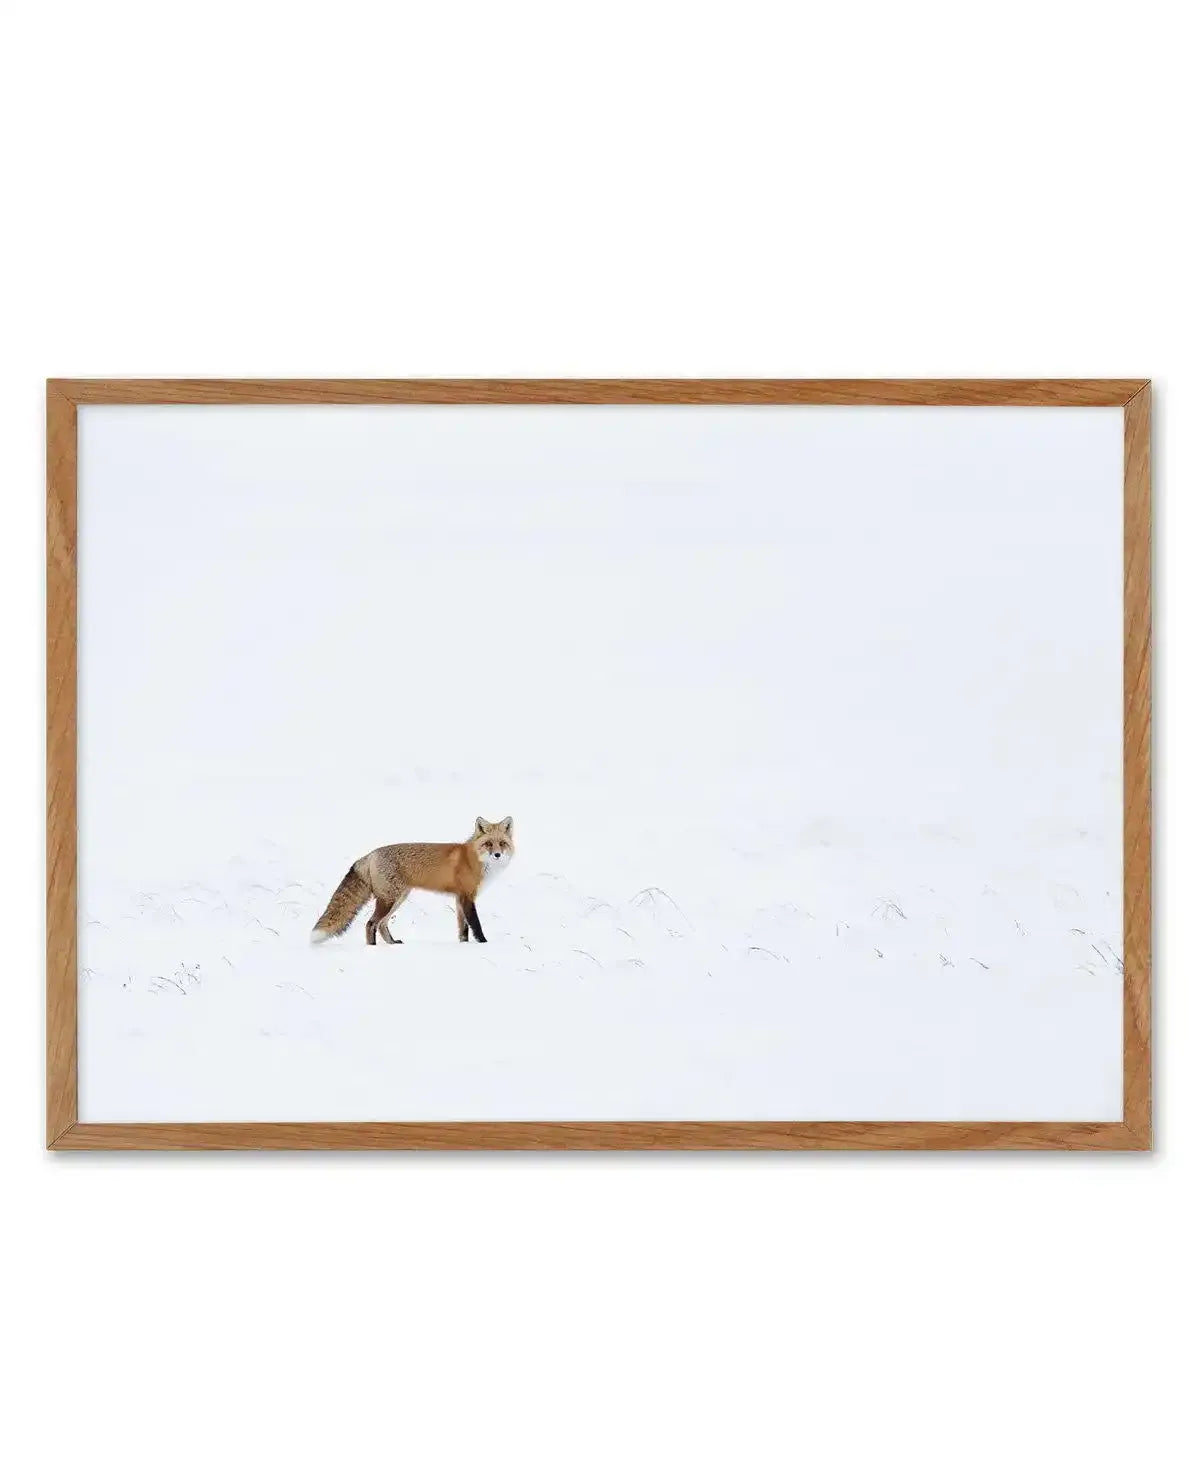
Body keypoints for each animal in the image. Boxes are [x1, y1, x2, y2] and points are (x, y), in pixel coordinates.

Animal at [310, 816, 514, 947]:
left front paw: (464, 945)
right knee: (371, 923)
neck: (475, 860)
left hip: (398, 898)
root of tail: (370, 854)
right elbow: (475, 925)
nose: (497, 855)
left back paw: (392, 943)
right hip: (389, 899)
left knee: (381, 924)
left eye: (502, 844)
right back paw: (373, 948)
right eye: (488, 844)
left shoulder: (459, 899)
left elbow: (463, 928)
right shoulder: (467, 897)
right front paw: (483, 943)